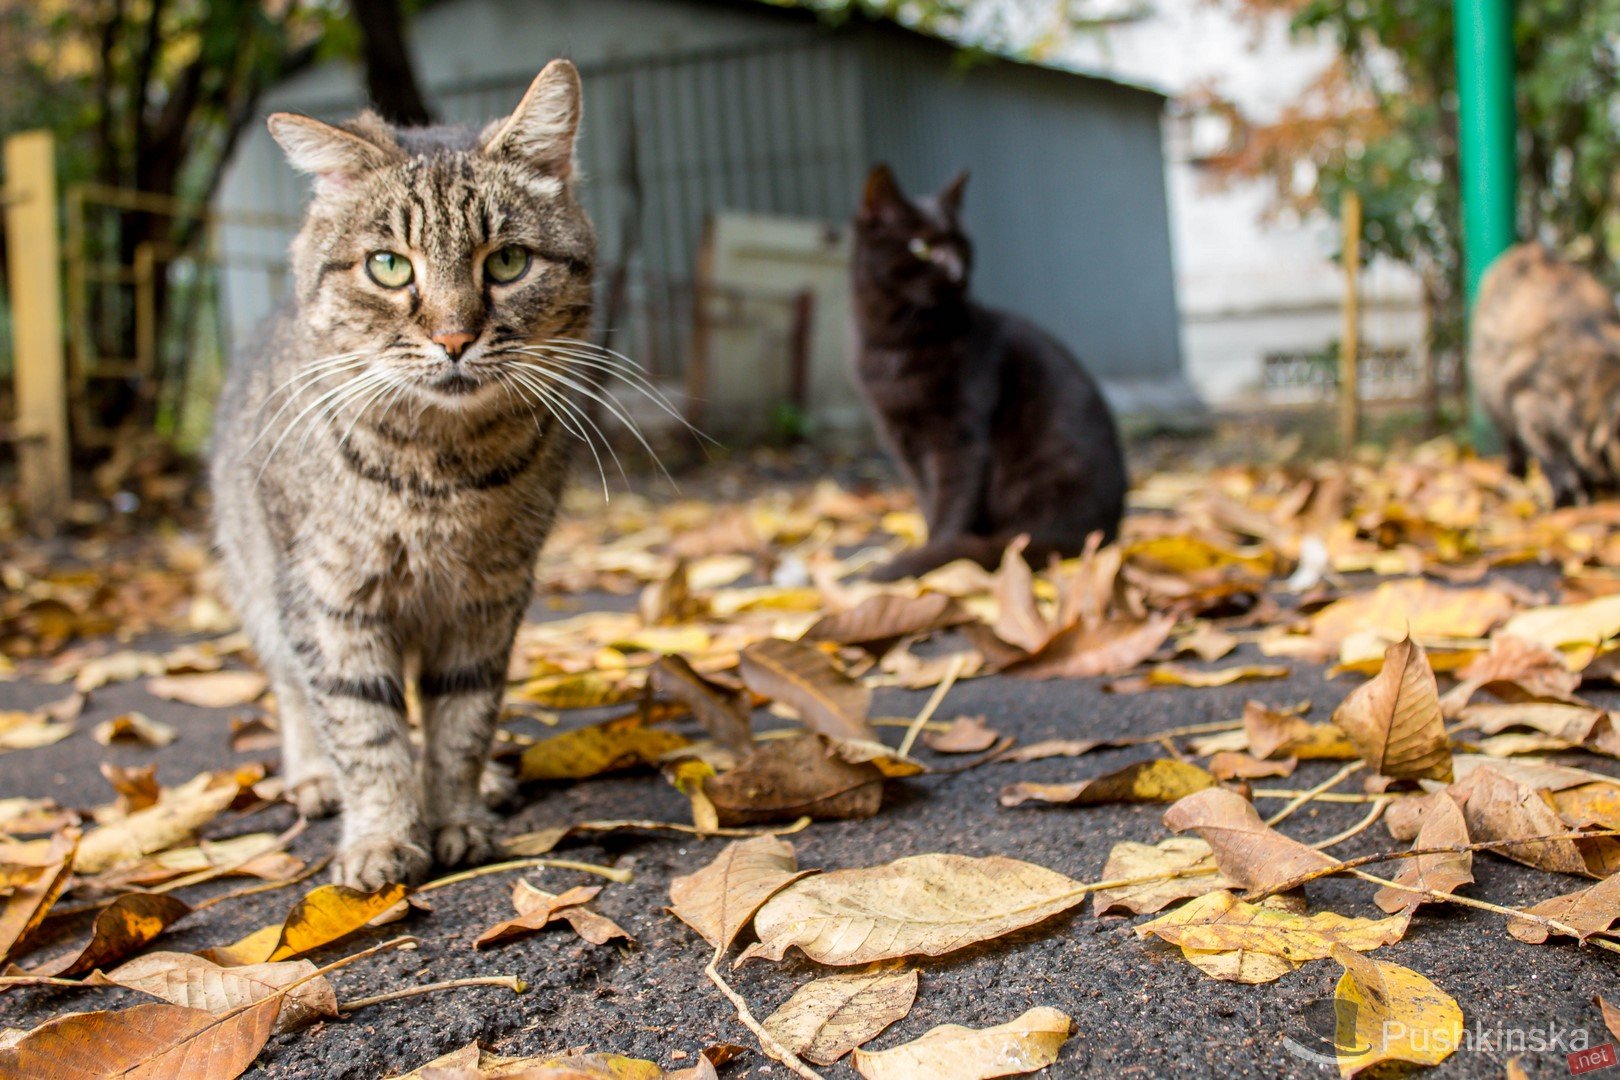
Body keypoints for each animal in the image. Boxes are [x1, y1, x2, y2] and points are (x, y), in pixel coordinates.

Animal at [212, 61, 599, 887]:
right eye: (388, 266)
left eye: (508, 262)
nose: (454, 337)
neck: (440, 472)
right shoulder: (327, 600)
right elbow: (363, 728)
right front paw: (383, 836)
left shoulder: (487, 599)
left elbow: (460, 722)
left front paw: (455, 815)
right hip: (256, 576)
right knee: (290, 689)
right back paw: (312, 777)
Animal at [848, 162, 1127, 582]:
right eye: (921, 247)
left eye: (963, 244)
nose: (957, 272)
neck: (897, 344)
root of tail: (1104, 531)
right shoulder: (902, 440)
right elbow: (928, 499)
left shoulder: (960, 436)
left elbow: (952, 502)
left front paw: (935, 553)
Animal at [1470, 241, 1620, 508]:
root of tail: (1530, 247)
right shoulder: (1529, 411)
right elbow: (1555, 461)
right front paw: (1567, 499)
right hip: (1492, 395)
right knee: (1513, 442)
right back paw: (1515, 475)